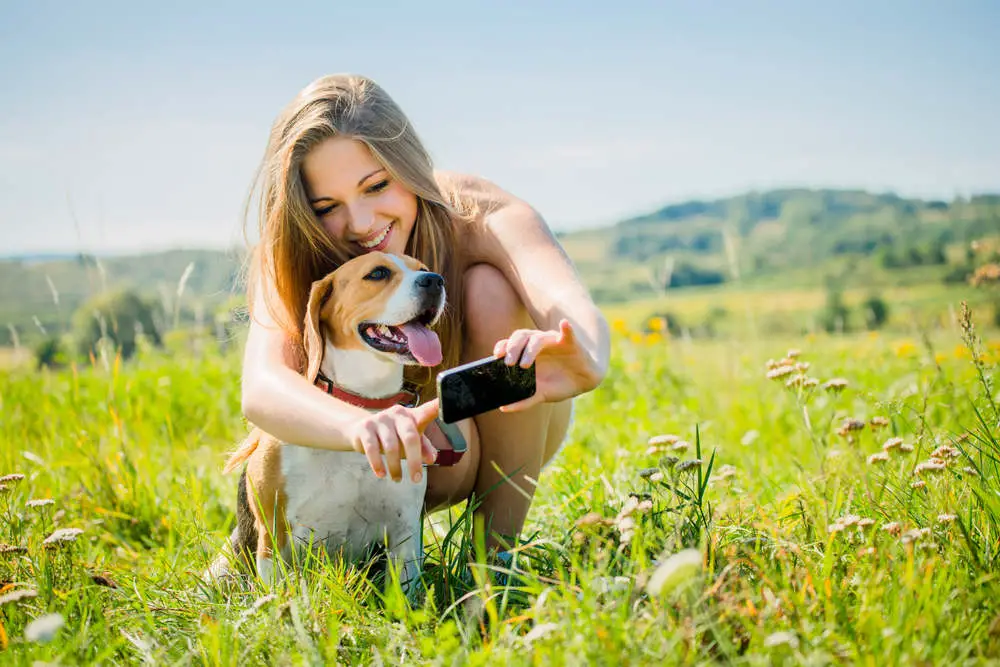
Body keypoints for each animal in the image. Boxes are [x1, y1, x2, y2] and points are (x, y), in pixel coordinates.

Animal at [215, 253, 464, 592]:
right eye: (378, 273)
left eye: (423, 268)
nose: (435, 280)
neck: (361, 405)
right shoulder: (272, 538)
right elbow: (279, 596)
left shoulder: (404, 533)